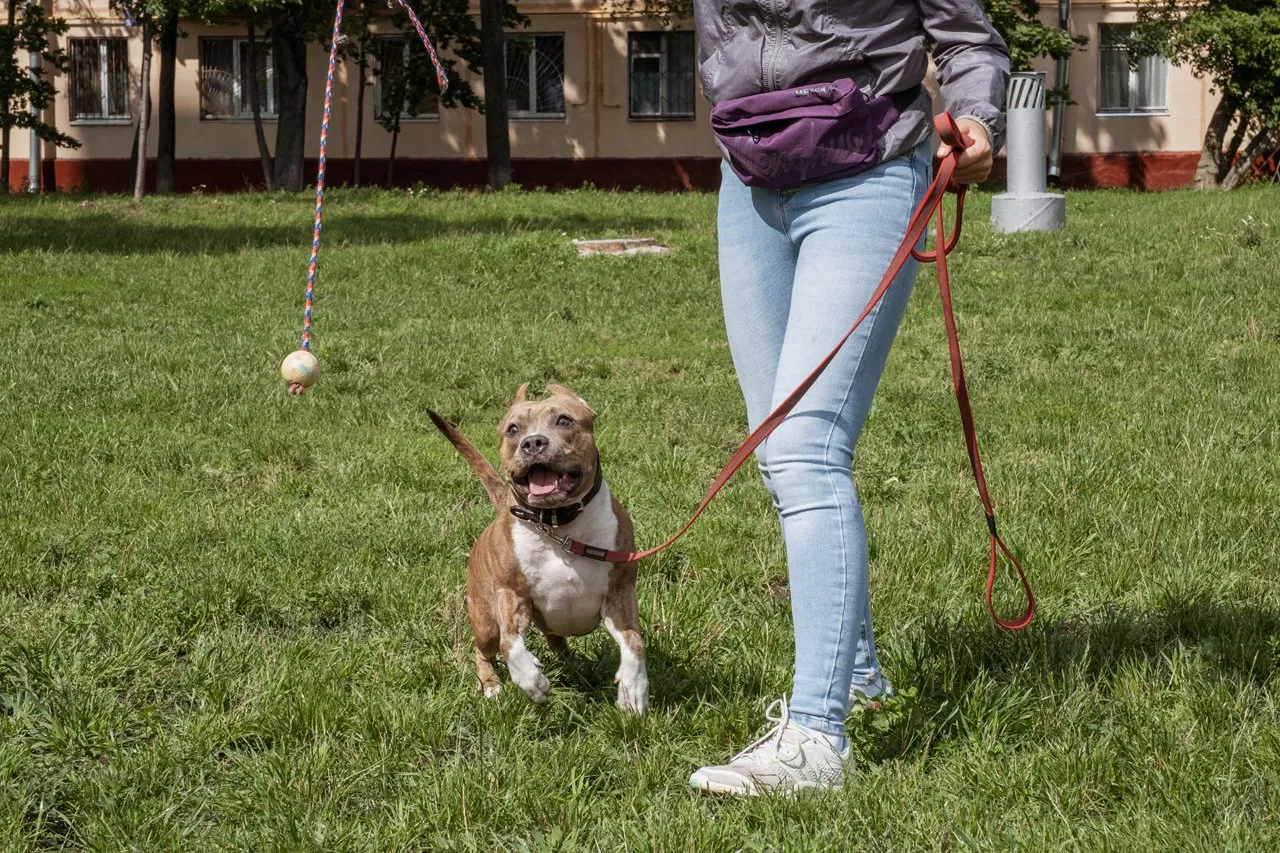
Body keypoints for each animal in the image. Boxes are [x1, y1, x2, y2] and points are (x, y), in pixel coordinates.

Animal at [430, 384, 650, 712]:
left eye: (563, 420)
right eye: (513, 429)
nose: (533, 442)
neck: (558, 527)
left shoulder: (619, 592)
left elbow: (634, 640)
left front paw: (633, 686)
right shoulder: (511, 594)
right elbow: (510, 642)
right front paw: (530, 679)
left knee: (556, 640)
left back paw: (575, 663)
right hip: (484, 619)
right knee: (486, 650)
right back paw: (491, 684)